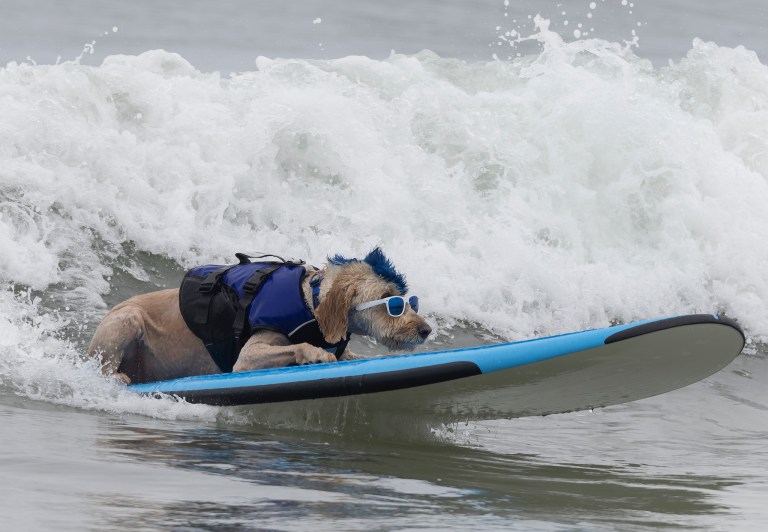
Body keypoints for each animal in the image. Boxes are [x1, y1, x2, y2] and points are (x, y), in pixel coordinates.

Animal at [88, 247, 432, 384]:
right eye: (391, 302)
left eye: (410, 301)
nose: (426, 330)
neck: (311, 303)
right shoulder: (247, 358)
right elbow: (301, 347)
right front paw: (316, 354)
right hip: (126, 320)